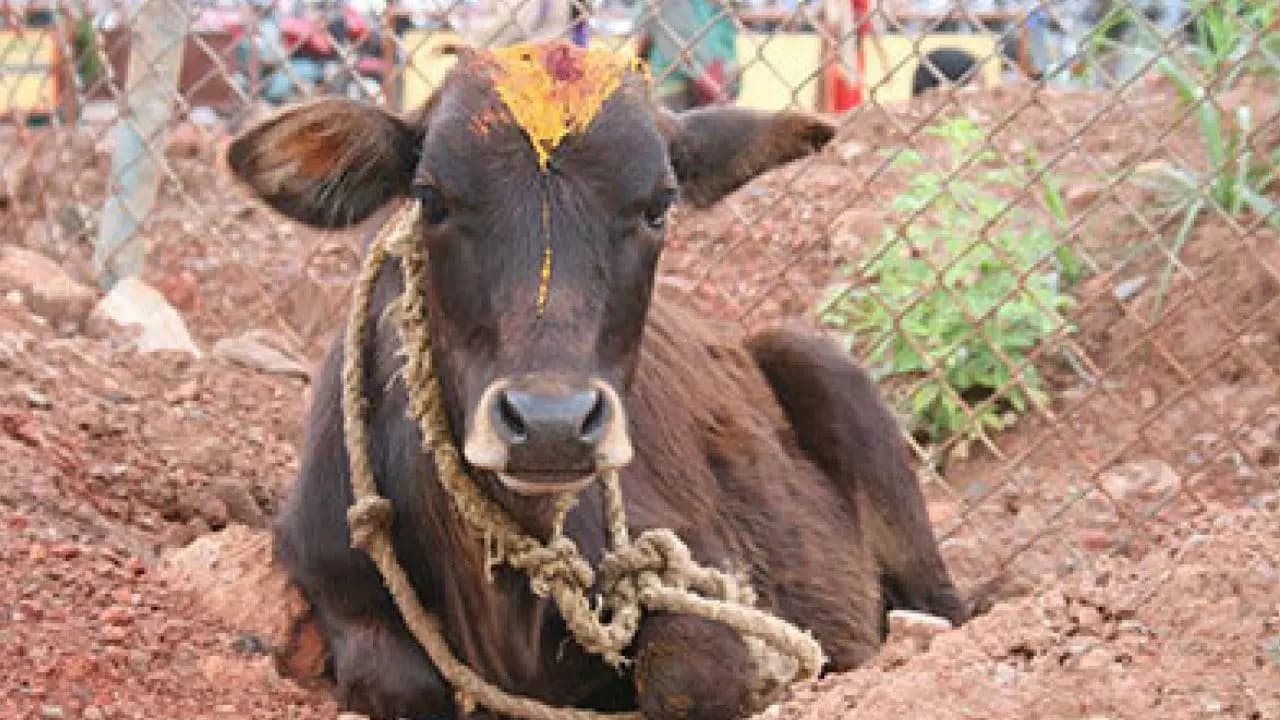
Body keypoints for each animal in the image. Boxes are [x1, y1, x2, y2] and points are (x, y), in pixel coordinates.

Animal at [226, 41, 966, 720]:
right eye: (431, 198)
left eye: (659, 205)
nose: (549, 425)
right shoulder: (331, 576)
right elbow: (396, 682)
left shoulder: (703, 571)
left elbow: (686, 678)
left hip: (827, 373)